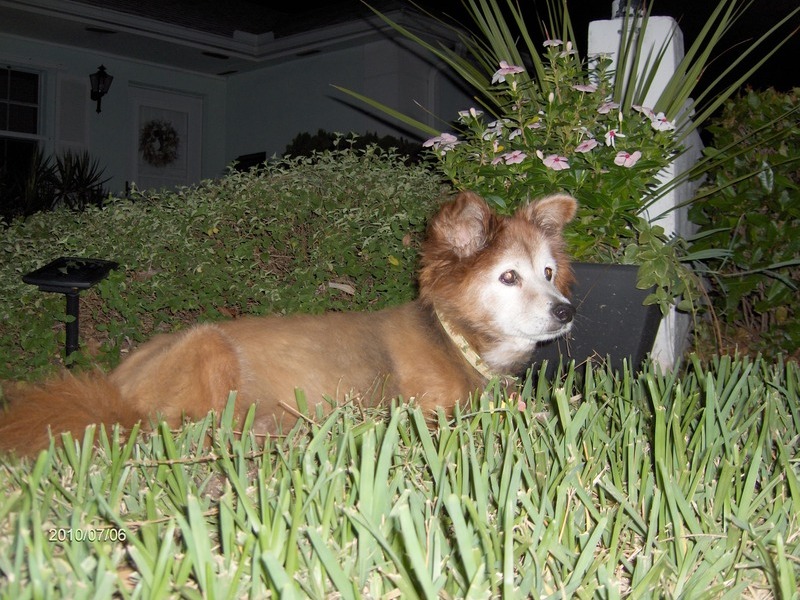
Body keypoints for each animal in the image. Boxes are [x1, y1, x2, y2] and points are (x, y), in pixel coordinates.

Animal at [0, 192, 576, 454]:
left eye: (548, 272)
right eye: (508, 276)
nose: (565, 311)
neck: (456, 339)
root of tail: (113, 389)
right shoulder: (429, 414)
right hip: (207, 345)